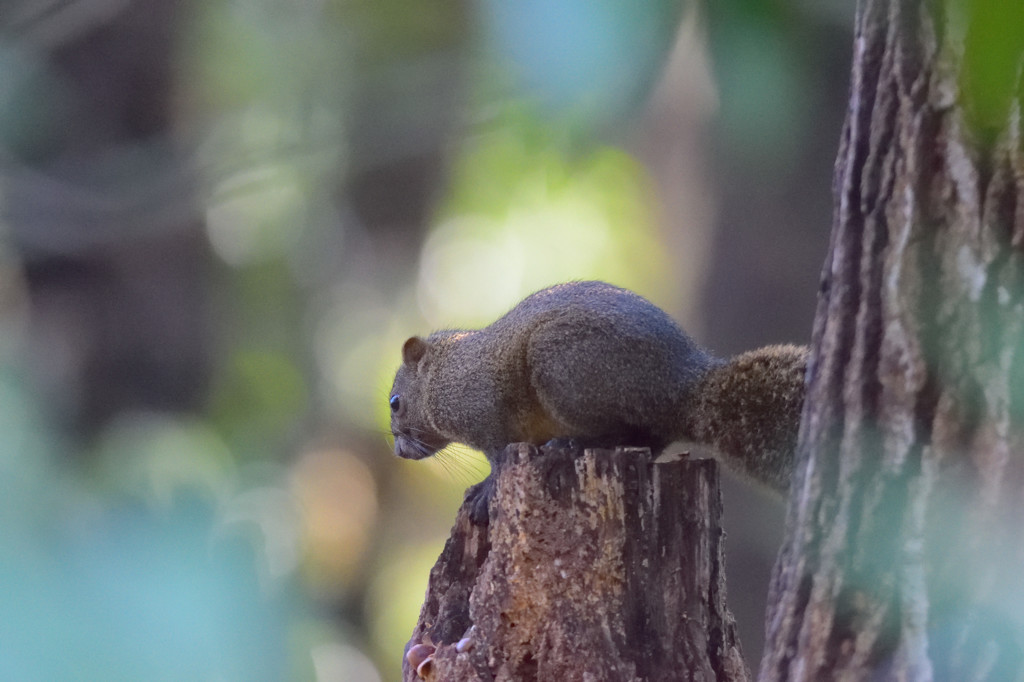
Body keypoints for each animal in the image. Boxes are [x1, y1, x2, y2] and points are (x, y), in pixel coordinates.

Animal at [391, 278, 806, 518]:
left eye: (395, 402)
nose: (397, 451)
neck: (443, 374)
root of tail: (685, 386)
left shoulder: (483, 410)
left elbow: (497, 456)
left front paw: (485, 490)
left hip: (562, 368)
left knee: (626, 432)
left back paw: (573, 443)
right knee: (651, 439)